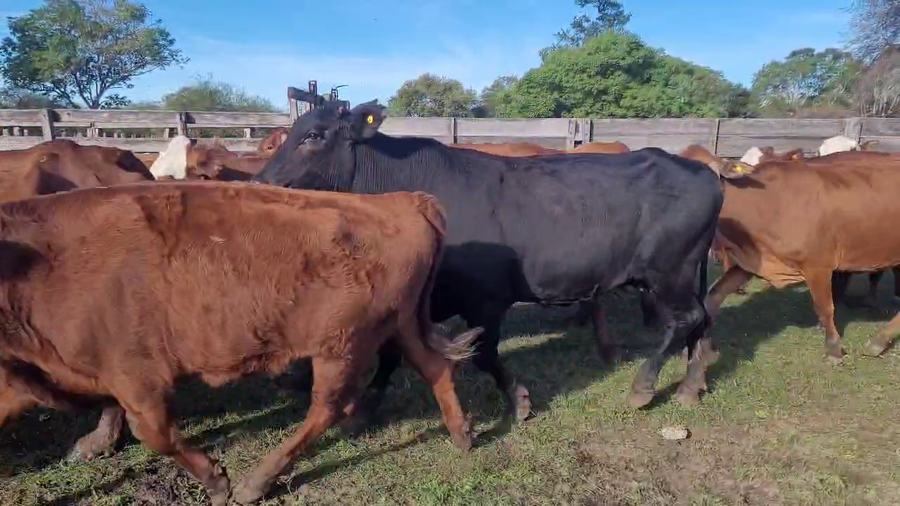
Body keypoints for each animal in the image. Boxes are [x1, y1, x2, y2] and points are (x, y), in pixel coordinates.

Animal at [0, 181, 480, 505]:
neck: (39, 264)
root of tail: (402, 199)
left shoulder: (137, 376)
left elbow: (155, 433)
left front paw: (218, 482)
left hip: (341, 346)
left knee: (327, 406)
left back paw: (256, 483)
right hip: (400, 326)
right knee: (434, 367)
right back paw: (462, 437)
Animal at [252, 100, 735, 423]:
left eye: (313, 136)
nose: (262, 183)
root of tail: (701, 170)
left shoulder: (485, 297)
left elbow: (483, 354)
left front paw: (517, 399)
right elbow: (391, 352)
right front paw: (367, 404)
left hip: (669, 271)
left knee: (686, 320)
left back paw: (644, 385)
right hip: (683, 273)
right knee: (702, 319)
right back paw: (692, 385)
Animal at [699, 154, 900, 363]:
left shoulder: (818, 266)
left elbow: (824, 307)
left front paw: (834, 348)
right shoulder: (753, 261)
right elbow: (713, 297)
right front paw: (705, 350)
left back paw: (878, 340)